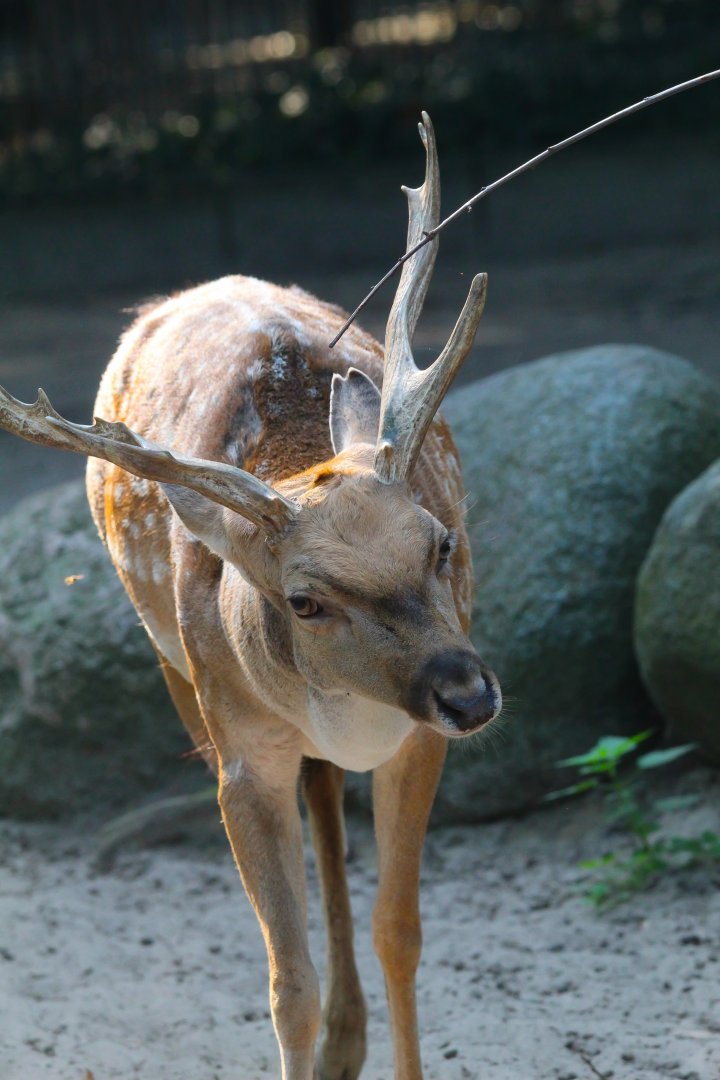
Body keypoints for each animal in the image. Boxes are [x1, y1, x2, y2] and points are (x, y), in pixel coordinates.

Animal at [0, 113, 501, 1080]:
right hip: (176, 672)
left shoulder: (419, 743)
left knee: (329, 806)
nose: (467, 693)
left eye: (440, 542)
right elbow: (284, 983)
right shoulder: (242, 755)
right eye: (304, 601)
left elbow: (400, 932)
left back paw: (349, 1041)